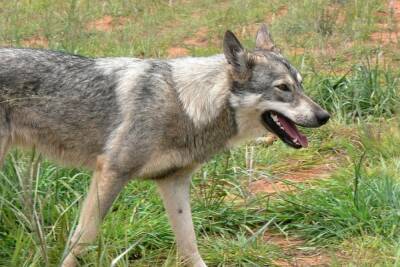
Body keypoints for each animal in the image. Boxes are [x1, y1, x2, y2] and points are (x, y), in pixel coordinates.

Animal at [0, 24, 328, 266]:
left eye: (301, 85)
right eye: (283, 88)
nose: (324, 116)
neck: (186, 105)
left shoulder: (173, 182)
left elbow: (190, 246)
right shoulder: (111, 173)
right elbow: (81, 240)